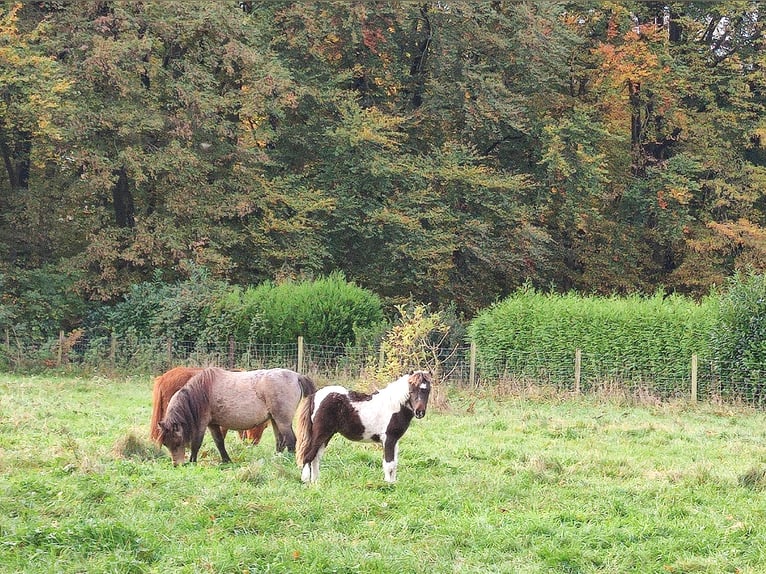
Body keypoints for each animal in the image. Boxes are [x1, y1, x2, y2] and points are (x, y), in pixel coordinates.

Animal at [156, 368, 316, 468]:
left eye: (177, 443)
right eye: (165, 444)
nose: (176, 465)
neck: (201, 392)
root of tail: (296, 376)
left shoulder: (202, 424)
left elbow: (196, 443)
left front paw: (192, 462)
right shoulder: (213, 424)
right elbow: (219, 442)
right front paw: (226, 460)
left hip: (283, 420)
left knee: (291, 441)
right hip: (275, 420)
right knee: (280, 441)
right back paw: (276, 459)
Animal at [296, 374, 436, 486]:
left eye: (428, 390)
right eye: (411, 390)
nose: (419, 412)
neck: (394, 406)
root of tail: (315, 395)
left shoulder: (395, 440)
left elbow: (394, 463)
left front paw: (393, 483)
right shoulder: (389, 439)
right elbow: (388, 464)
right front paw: (388, 485)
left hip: (327, 435)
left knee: (315, 457)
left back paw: (315, 482)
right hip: (321, 433)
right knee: (308, 455)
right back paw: (306, 480)